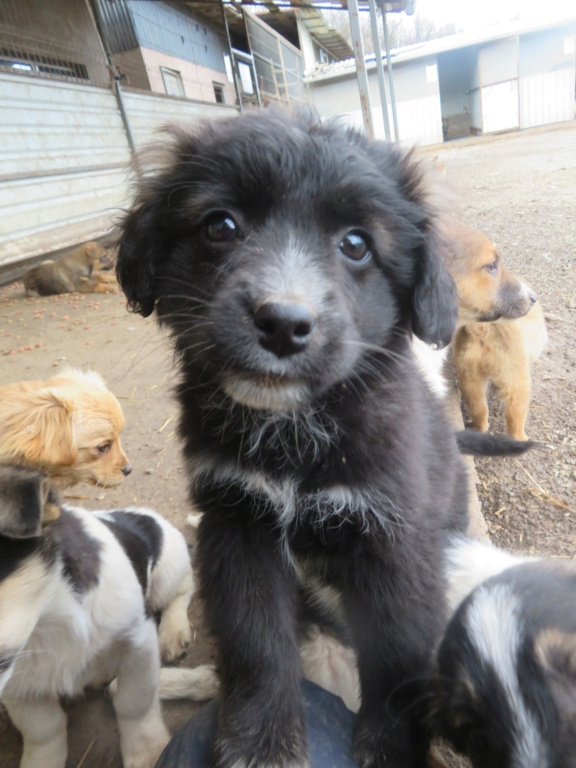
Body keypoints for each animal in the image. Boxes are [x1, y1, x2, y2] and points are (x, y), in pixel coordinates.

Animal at [0, 462, 202, 768]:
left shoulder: (139, 643)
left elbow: (135, 704)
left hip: (167, 571)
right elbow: (42, 729)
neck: (48, 614)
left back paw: (173, 631)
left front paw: (148, 753)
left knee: (183, 588)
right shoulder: (18, 685)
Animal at [116, 108, 532, 768]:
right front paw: (260, 741)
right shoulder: (238, 522)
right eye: (220, 225)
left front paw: (390, 746)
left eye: (356, 244)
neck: (293, 434)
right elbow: (256, 641)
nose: (283, 323)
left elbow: (396, 649)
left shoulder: (394, 534)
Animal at [444, 220, 548, 438]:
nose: (534, 298)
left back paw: (479, 430)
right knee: (514, 415)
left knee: (479, 408)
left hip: (470, 376)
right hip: (515, 377)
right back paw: (521, 438)